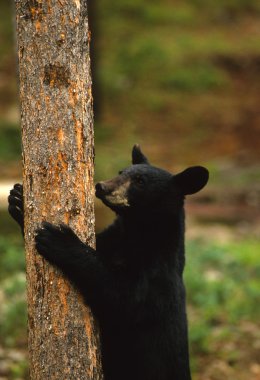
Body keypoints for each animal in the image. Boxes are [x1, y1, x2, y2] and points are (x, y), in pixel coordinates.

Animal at [8, 146, 209, 380]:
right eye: (121, 171)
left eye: (140, 181)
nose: (102, 186)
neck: (135, 233)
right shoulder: (113, 239)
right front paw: (18, 201)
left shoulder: (156, 278)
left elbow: (121, 296)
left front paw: (58, 239)